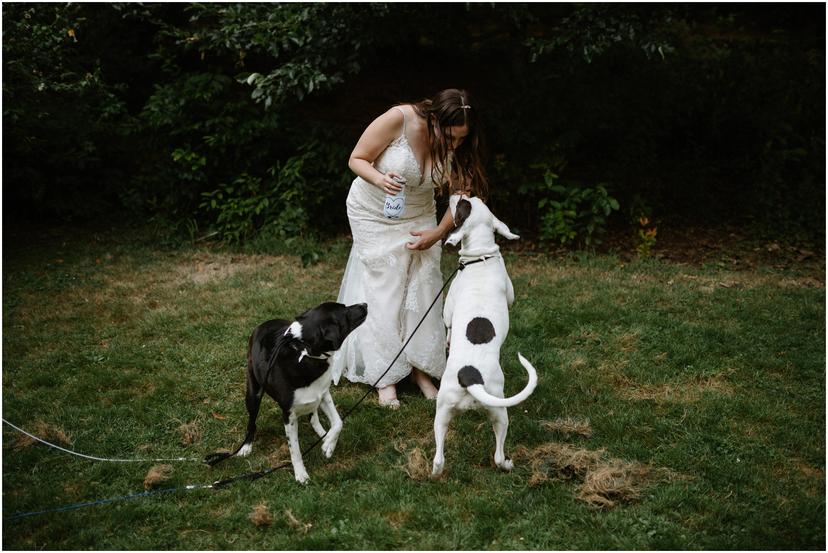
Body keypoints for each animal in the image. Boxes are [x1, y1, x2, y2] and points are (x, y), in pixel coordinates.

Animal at [204, 302, 366, 484]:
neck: (305, 352)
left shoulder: (323, 394)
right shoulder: (289, 415)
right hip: (253, 394)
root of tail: (262, 324)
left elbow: (338, 422)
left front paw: (328, 446)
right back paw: (246, 446)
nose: (365, 305)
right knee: (252, 422)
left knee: (314, 417)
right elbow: (295, 449)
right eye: (345, 312)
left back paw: (323, 434)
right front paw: (301, 474)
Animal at [430, 196, 540, 476]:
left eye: (462, 205)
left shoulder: (448, 309)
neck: (480, 257)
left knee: (450, 457)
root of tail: (470, 377)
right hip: (478, 411)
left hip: (456, 411)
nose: (458, 193)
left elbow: (448, 324)